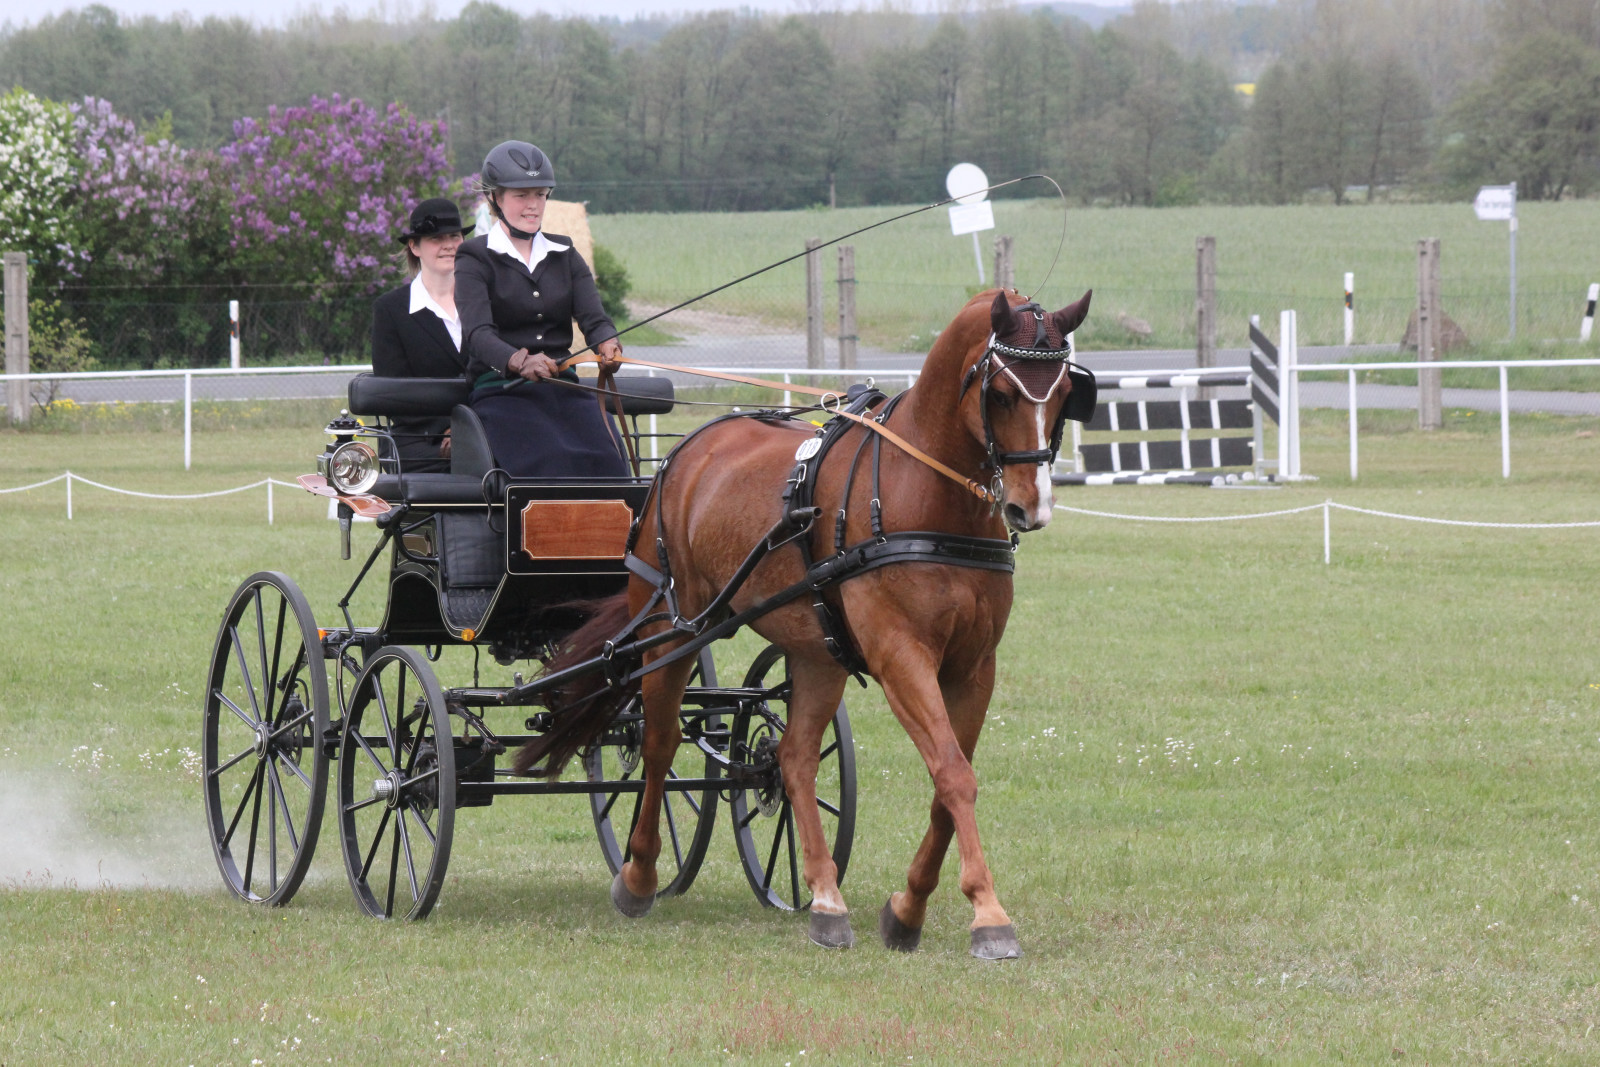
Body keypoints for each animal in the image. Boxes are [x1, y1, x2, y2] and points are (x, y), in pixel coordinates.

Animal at [515, 287, 1091, 958]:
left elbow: (950, 783)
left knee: (792, 758)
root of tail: (686, 452)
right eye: (1000, 393)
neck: (924, 493)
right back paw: (638, 875)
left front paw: (907, 909)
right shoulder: (901, 656)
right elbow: (952, 773)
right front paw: (989, 914)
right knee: (658, 741)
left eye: (1064, 391)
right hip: (671, 624)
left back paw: (824, 899)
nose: (1032, 507)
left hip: (817, 653)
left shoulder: (974, 667)